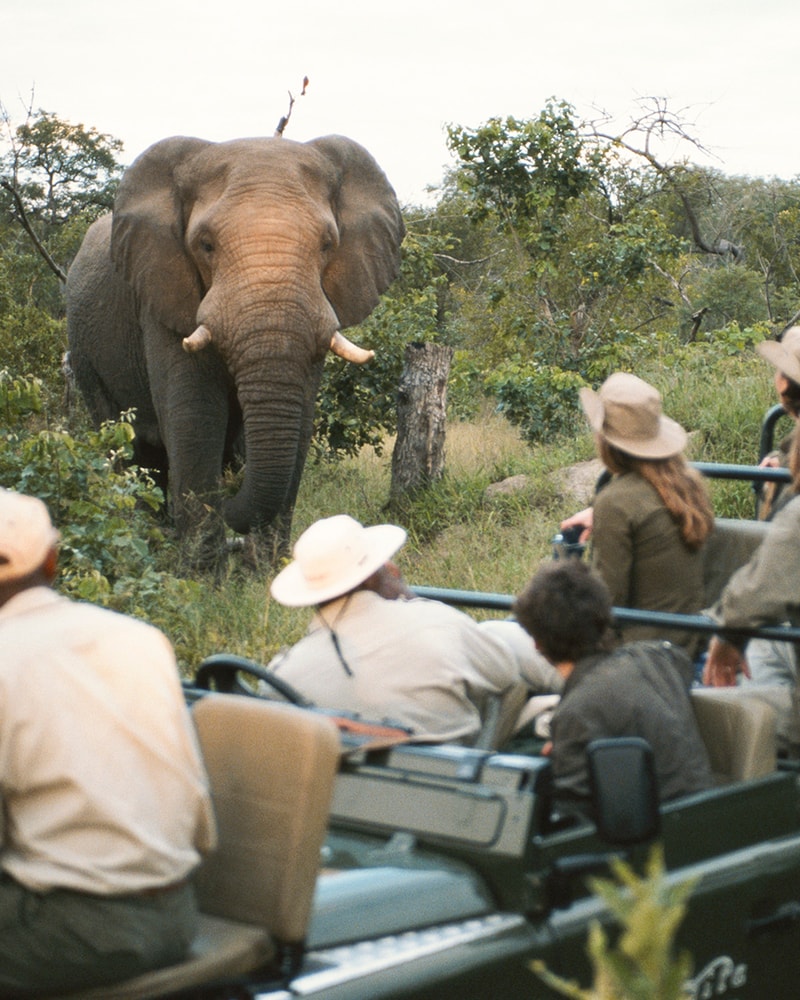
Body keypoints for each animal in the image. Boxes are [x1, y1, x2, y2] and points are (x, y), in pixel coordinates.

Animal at [66, 134, 406, 572]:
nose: (230, 489)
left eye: (327, 244)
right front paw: (202, 579)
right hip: (84, 354)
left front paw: (269, 573)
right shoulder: (161, 296)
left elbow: (300, 421)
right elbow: (195, 418)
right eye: (205, 245)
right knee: (128, 450)